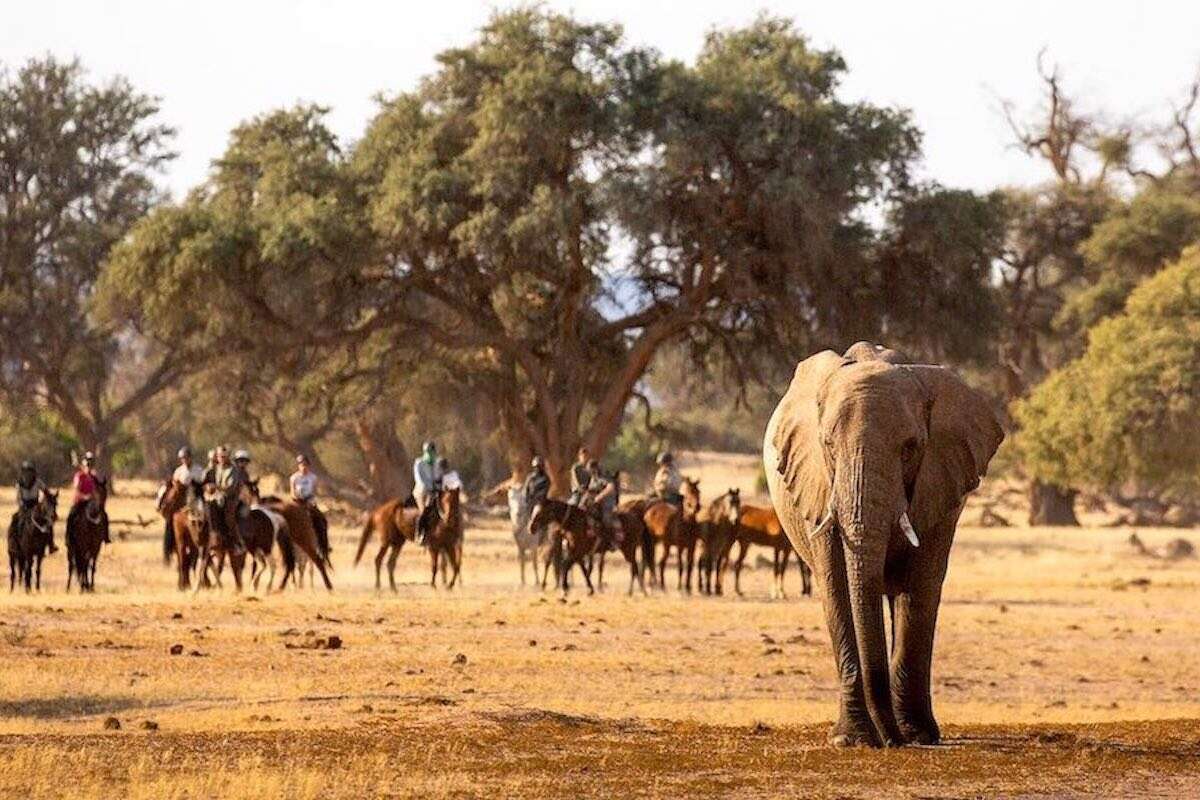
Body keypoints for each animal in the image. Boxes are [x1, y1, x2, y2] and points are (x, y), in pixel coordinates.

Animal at [763, 342, 1003, 748]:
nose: (891, 742)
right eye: (828, 444)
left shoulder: (941, 483)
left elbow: (920, 589)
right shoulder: (818, 485)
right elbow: (837, 590)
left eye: (910, 448)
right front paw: (853, 740)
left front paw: (918, 736)